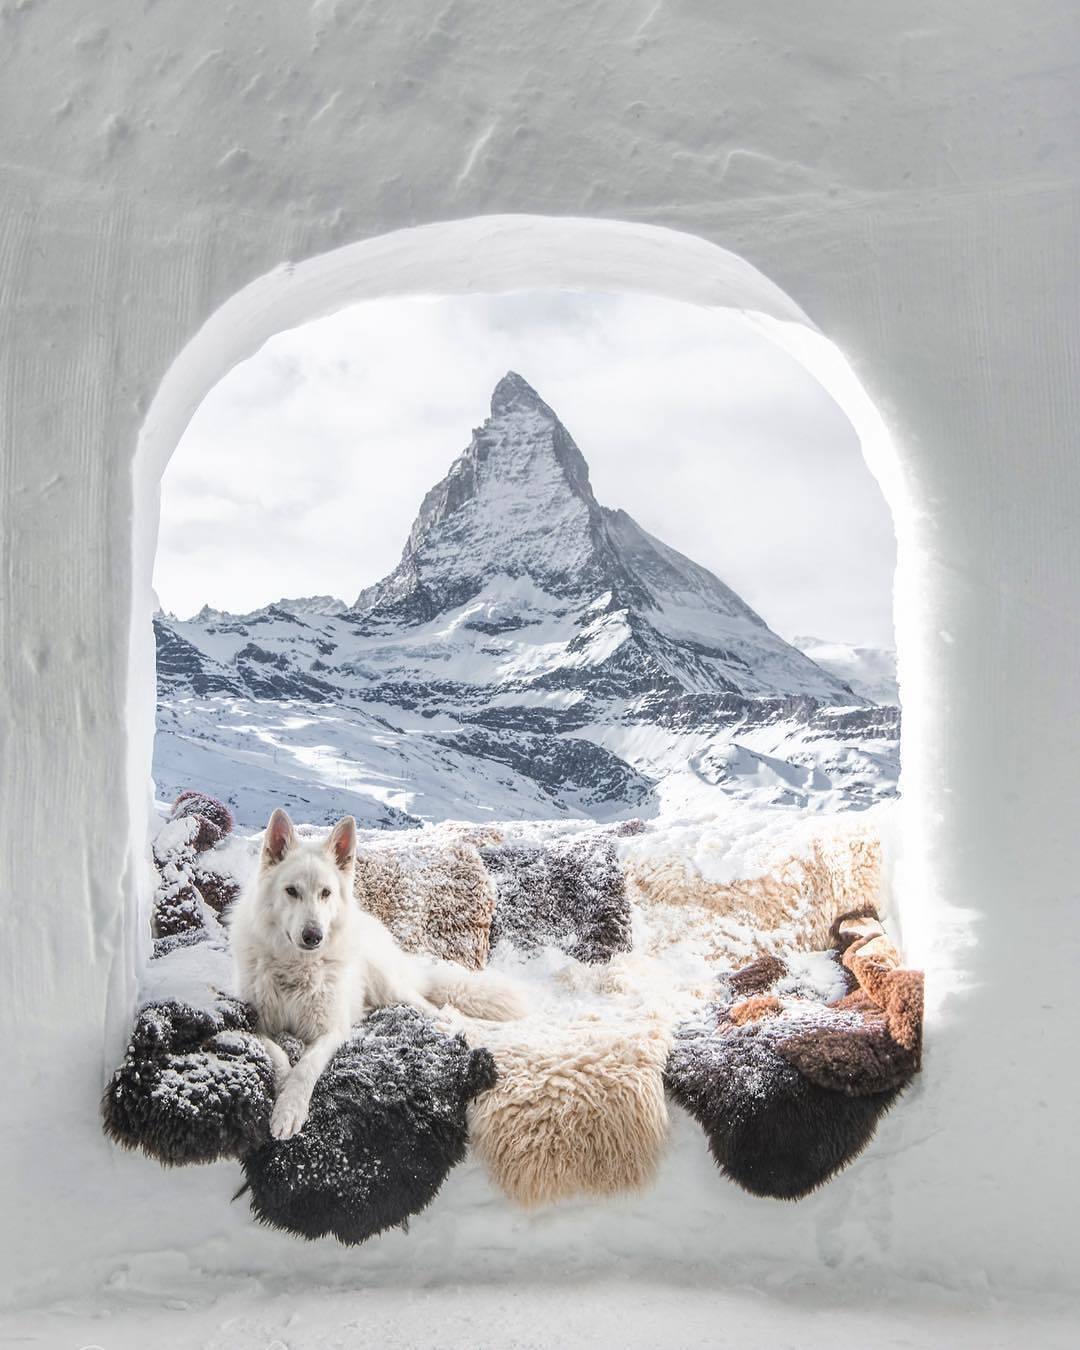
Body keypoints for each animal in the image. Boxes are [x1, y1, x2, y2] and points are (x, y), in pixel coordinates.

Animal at [232, 810, 526, 1139]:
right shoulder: (253, 1022)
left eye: (325, 893)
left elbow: (306, 1067)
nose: (313, 936)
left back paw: (446, 1021)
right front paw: (283, 1088)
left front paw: (291, 1106)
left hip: (389, 985)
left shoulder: (331, 1031)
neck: (296, 968)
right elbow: (277, 1052)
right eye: (291, 891)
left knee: (429, 1004)